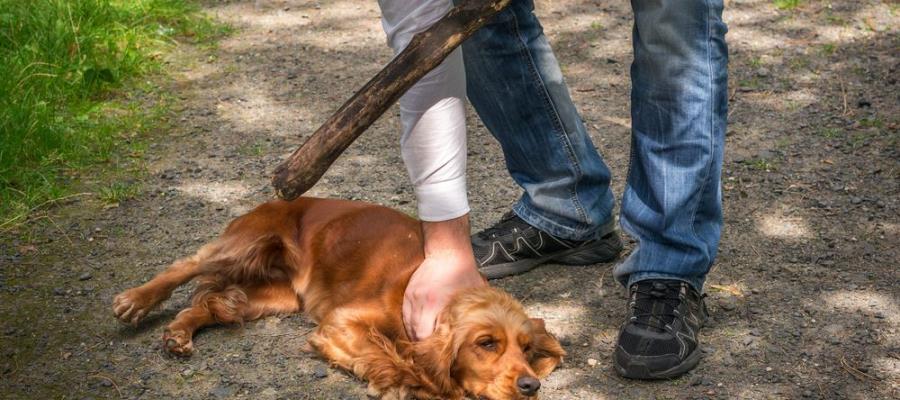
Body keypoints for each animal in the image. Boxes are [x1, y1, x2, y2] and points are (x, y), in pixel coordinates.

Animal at [112, 198, 564, 400]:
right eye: (486, 343)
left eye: (527, 349)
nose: (531, 385)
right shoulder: (341, 322)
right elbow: (392, 357)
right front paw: (416, 383)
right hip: (245, 242)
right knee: (186, 265)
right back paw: (135, 300)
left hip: (276, 296)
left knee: (214, 303)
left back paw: (178, 334)